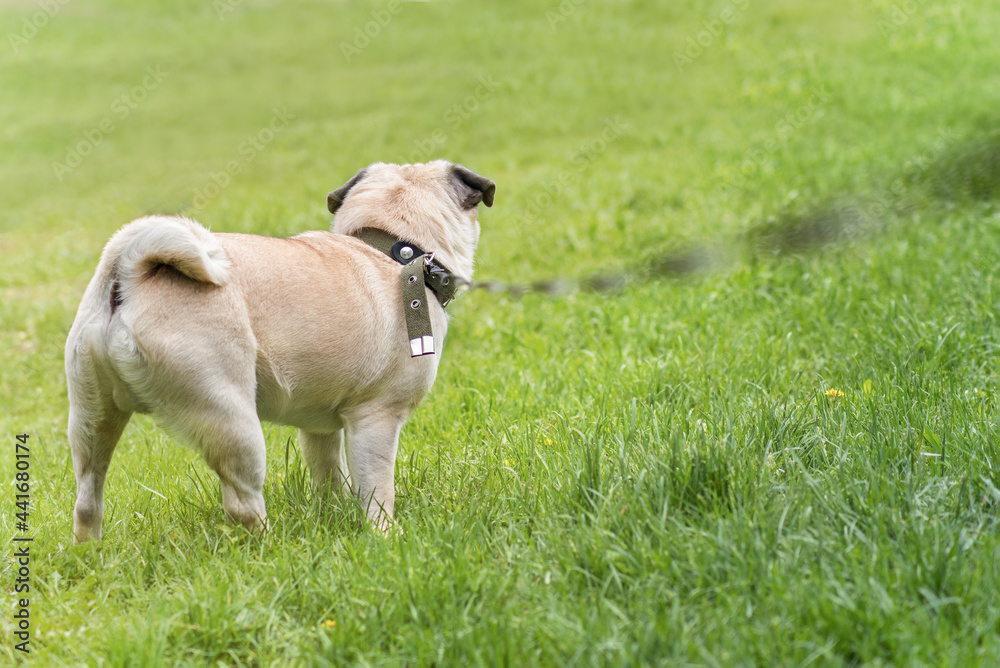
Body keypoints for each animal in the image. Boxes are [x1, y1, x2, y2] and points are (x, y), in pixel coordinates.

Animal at [64, 162, 494, 544]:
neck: (395, 251)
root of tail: (131, 273)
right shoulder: (377, 419)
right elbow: (376, 492)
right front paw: (386, 537)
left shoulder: (321, 429)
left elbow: (330, 477)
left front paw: (333, 517)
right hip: (232, 422)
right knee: (243, 504)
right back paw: (272, 549)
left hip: (92, 417)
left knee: (88, 497)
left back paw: (92, 555)